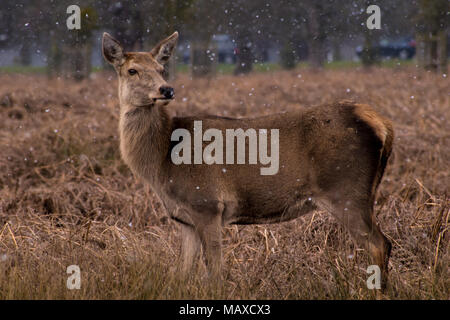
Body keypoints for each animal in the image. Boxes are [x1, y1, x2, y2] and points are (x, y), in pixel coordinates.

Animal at [102, 31, 394, 290]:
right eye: (132, 70)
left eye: (162, 69)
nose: (166, 89)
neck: (163, 161)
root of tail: (381, 123)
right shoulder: (185, 218)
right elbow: (183, 272)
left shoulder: (207, 203)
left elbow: (215, 270)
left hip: (347, 190)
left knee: (379, 244)